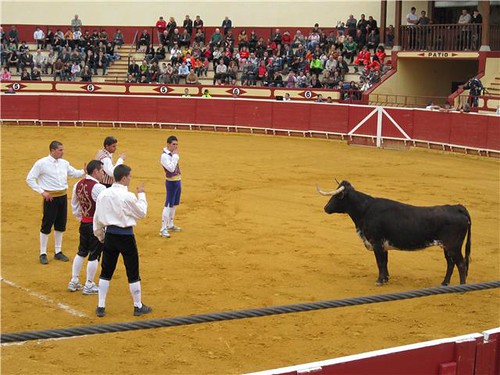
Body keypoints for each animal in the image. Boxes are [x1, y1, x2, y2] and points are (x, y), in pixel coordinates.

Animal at [318, 181, 470, 284]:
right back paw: (444, 283)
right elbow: (385, 262)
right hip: (447, 247)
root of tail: (456, 207)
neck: (366, 209)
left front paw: (379, 281)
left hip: (453, 246)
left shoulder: (377, 243)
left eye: (336, 197)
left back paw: (461, 287)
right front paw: (385, 279)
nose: (326, 208)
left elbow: (380, 262)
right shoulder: (383, 245)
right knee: (450, 263)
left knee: (461, 264)